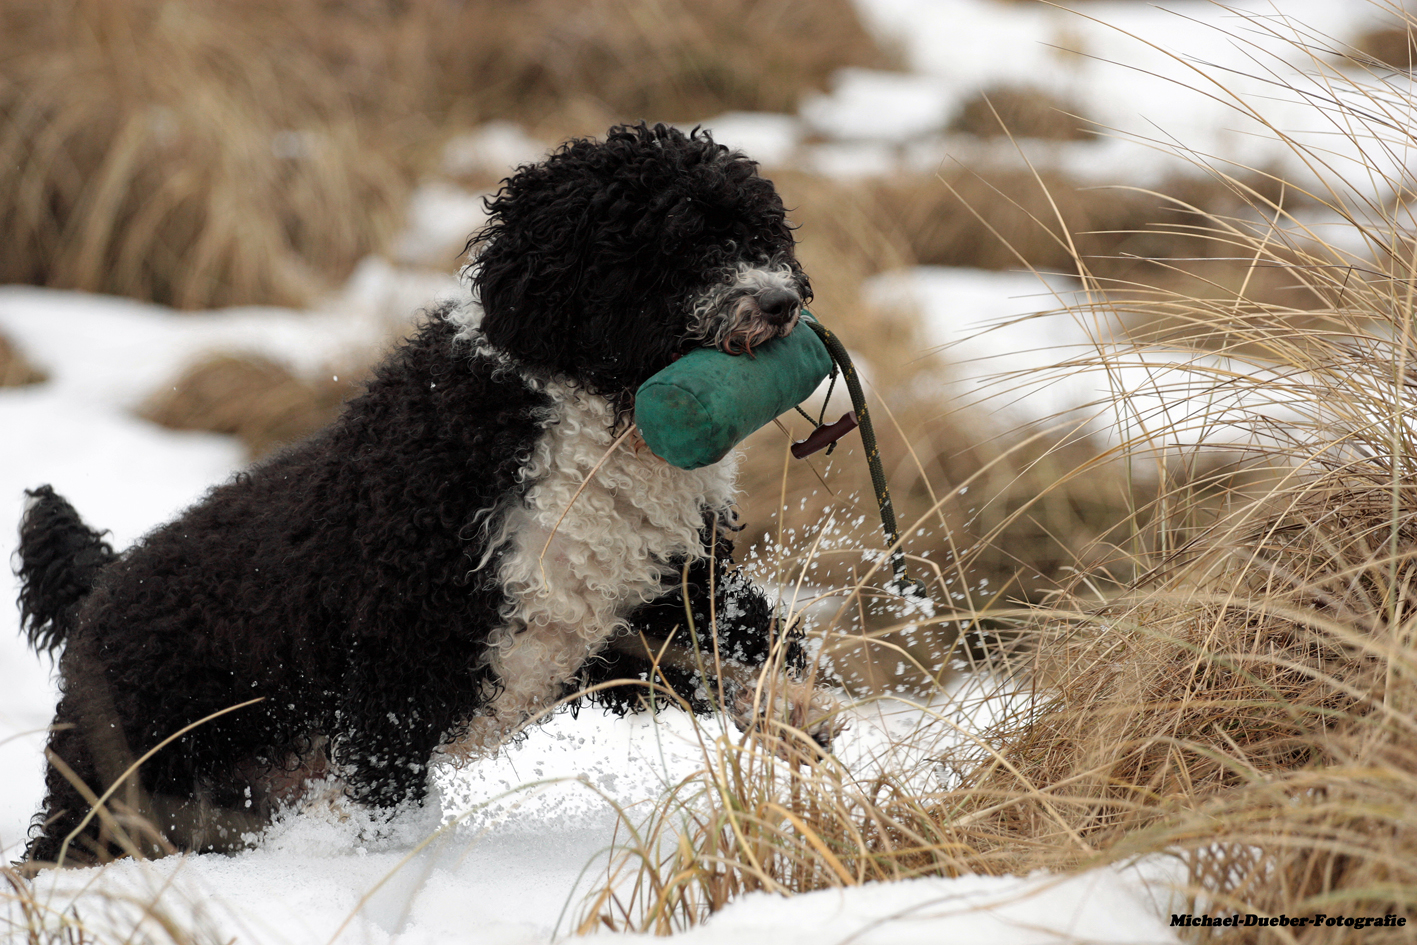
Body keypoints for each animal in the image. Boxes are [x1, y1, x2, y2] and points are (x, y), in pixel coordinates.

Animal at [13, 123, 838, 867]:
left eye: (762, 231)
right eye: (683, 240)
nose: (781, 300)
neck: (591, 419)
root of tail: (99, 587)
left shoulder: (654, 594)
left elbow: (750, 640)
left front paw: (804, 714)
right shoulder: (399, 644)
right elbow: (388, 786)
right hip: (123, 772)